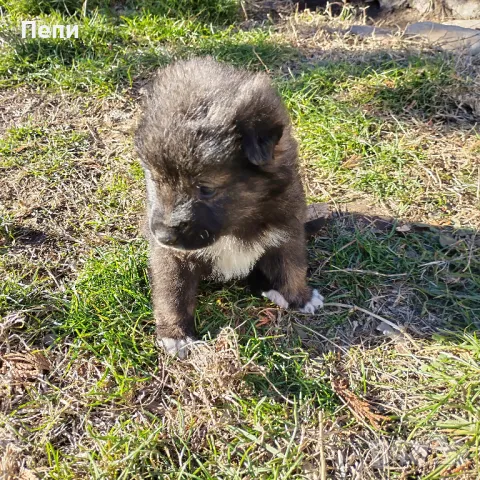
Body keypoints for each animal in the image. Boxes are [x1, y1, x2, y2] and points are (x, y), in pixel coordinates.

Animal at [135, 57, 322, 356]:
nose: (162, 235)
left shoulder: (287, 231)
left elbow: (291, 266)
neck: (234, 227)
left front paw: (299, 297)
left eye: (205, 188)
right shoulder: (171, 257)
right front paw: (175, 334)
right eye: (155, 179)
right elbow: (173, 293)